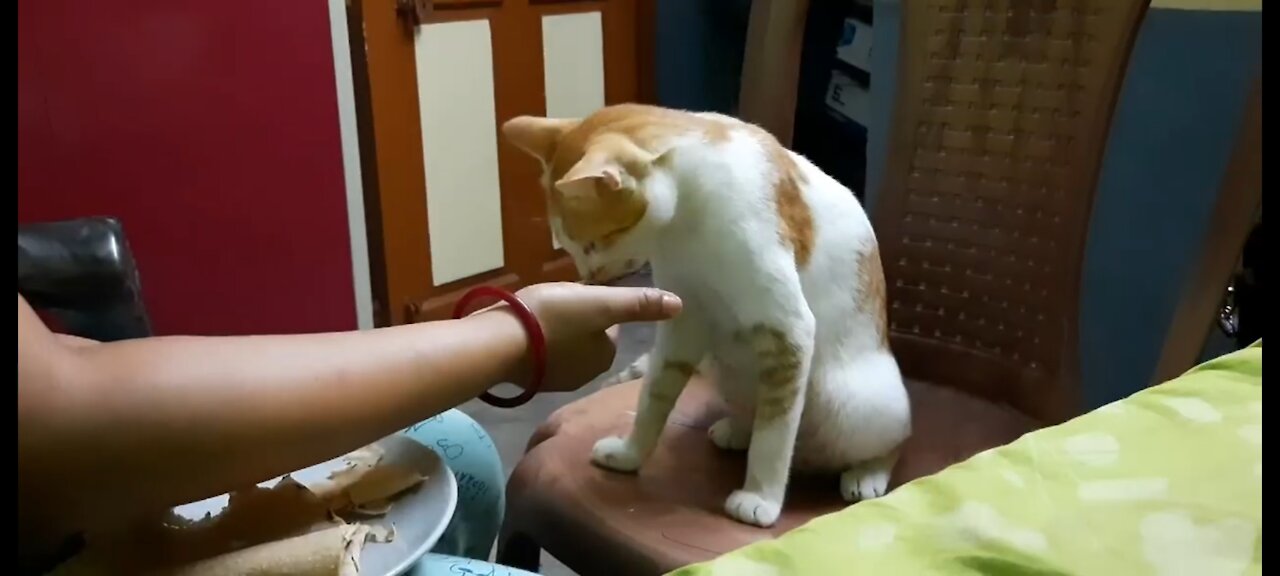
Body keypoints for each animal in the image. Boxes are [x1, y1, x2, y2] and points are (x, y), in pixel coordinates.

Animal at [499, 103, 911, 527]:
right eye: (569, 246)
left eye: (595, 243)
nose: (589, 276)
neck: (682, 226)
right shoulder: (684, 322)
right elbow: (654, 397)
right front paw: (630, 454)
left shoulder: (787, 329)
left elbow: (775, 431)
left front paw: (760, 496)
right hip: (726, 369)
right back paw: (737, 430)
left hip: (847, 399)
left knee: (889, 439)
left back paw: (866, 473)